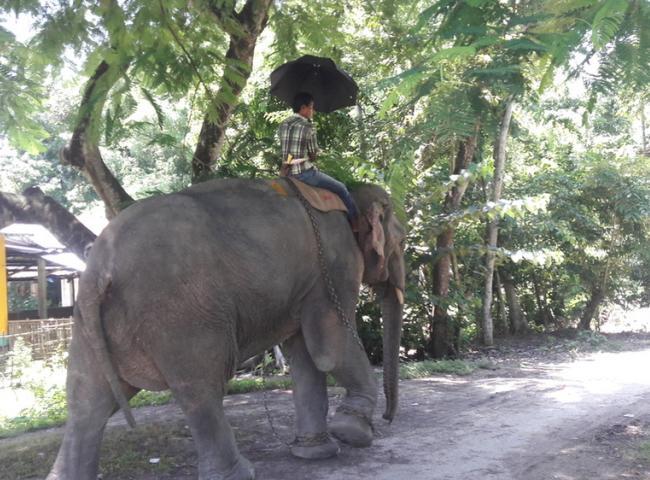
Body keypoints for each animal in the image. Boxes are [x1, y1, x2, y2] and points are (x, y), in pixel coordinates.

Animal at [46, 178, 406, 480]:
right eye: (402, 240)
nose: (388, 419)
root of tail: (99, 268)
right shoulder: (334, 264)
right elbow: (331, 348)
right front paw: (353, 432)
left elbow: (305, 354)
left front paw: (315, 452)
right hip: (181, 314)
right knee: (201, 389)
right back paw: (239, 474)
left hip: (90, 324)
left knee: (86, 402)